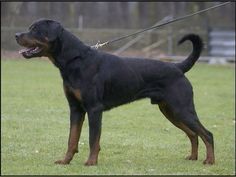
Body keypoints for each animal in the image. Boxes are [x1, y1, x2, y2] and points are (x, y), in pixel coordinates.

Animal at [14, 18, 214, 165]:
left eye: (35, 29)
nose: (16, 35)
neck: (75, 59)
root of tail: (178, 67)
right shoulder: (76, 109)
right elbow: (72, 138)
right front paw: (65, 161)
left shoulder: (94, 109)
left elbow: (93, 139)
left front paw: (91, 162)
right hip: (170, 110)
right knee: (193, 133)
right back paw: (193, 157)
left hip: (181, 108)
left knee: (207, 134)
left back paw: (209, 161)